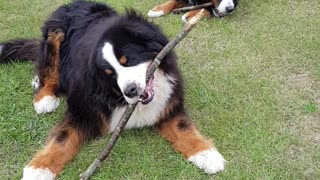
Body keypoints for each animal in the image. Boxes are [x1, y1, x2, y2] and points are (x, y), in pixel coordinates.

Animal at [0, 0, 225, 179]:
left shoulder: (168, 105)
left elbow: (183, 128)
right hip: (55, 34)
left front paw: (206, 154)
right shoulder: (83, 111)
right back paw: (44, 97)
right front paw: (39, 169)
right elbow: (62, 139)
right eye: (109, 73)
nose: (131, 90)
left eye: (129, 60)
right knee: (48, 68)